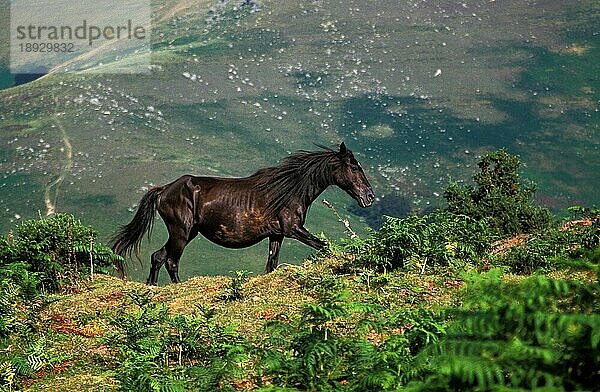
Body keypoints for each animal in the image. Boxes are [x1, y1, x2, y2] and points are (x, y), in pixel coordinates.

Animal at [111, 142, 376, 284]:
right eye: (354, 167)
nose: (370, 197)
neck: (288, 190)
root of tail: (164, 190)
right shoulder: (293, 229)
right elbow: (323, 246)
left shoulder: (277, 234)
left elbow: (271, 264)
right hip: (181, 232)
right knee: (170, 261)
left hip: (188, 232)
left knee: (158, 257)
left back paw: (153, 287)